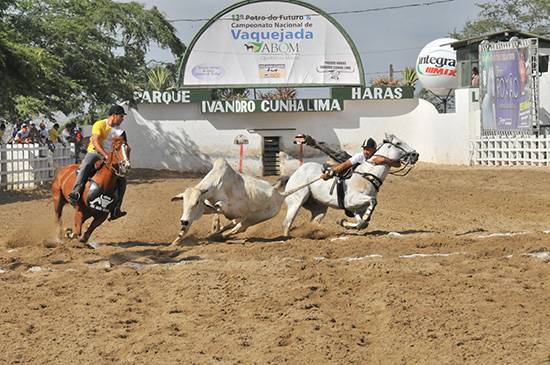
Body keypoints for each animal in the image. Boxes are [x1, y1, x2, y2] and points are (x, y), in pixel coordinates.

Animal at [282, 134, 420, 236]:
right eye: (398, 143)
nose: (415, 155)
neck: (366, 175)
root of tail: (295, 173)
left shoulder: (357, 207)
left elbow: (363, 221)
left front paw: (343, 222)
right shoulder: (351, 200)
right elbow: (372, 201)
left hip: (319, 208)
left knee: (313, 222)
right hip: (296, 200)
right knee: (287, 223)